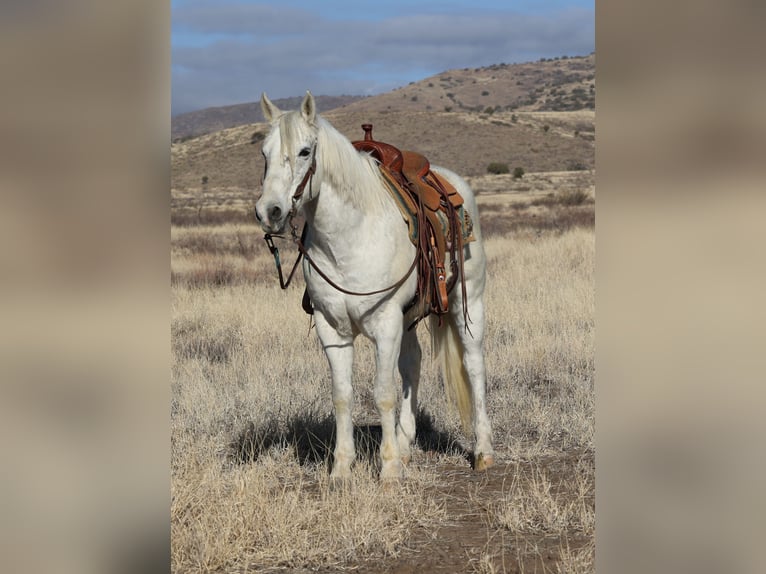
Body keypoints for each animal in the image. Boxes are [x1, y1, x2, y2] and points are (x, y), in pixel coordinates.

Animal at [256, 92, 498, 484]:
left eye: (305, 151)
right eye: (264, 153)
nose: (269, 211)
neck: (348, 238)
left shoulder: (385, 324)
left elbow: (383, 393)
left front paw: (388, 470)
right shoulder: (332, 328)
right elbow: (342, 395)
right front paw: (341, 469)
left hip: (469, 302)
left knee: (474, 364)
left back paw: (483, 451)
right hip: (410, 315)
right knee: (413, 362)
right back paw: (406, 442)